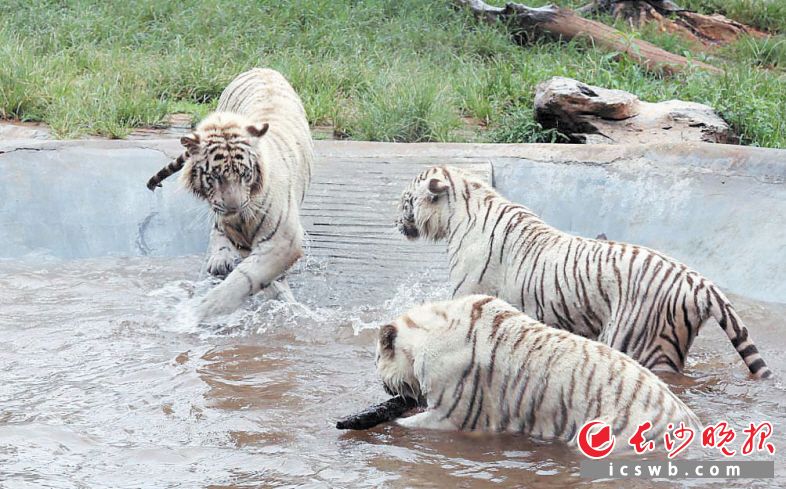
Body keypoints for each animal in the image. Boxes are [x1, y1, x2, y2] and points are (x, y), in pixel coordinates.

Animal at [145, 69, 310, 320]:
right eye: (215, 176)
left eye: (245, 174)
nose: (234, 207)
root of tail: (262, 68)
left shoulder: (284, 239)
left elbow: (246, 278)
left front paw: (202, 311)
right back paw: (219, 259)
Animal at [396, 166, 768, 380]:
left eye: (404, 199)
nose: (396, 222)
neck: (461, 208)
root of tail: (700, 282)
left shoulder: (468, 291)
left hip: (639, 341)